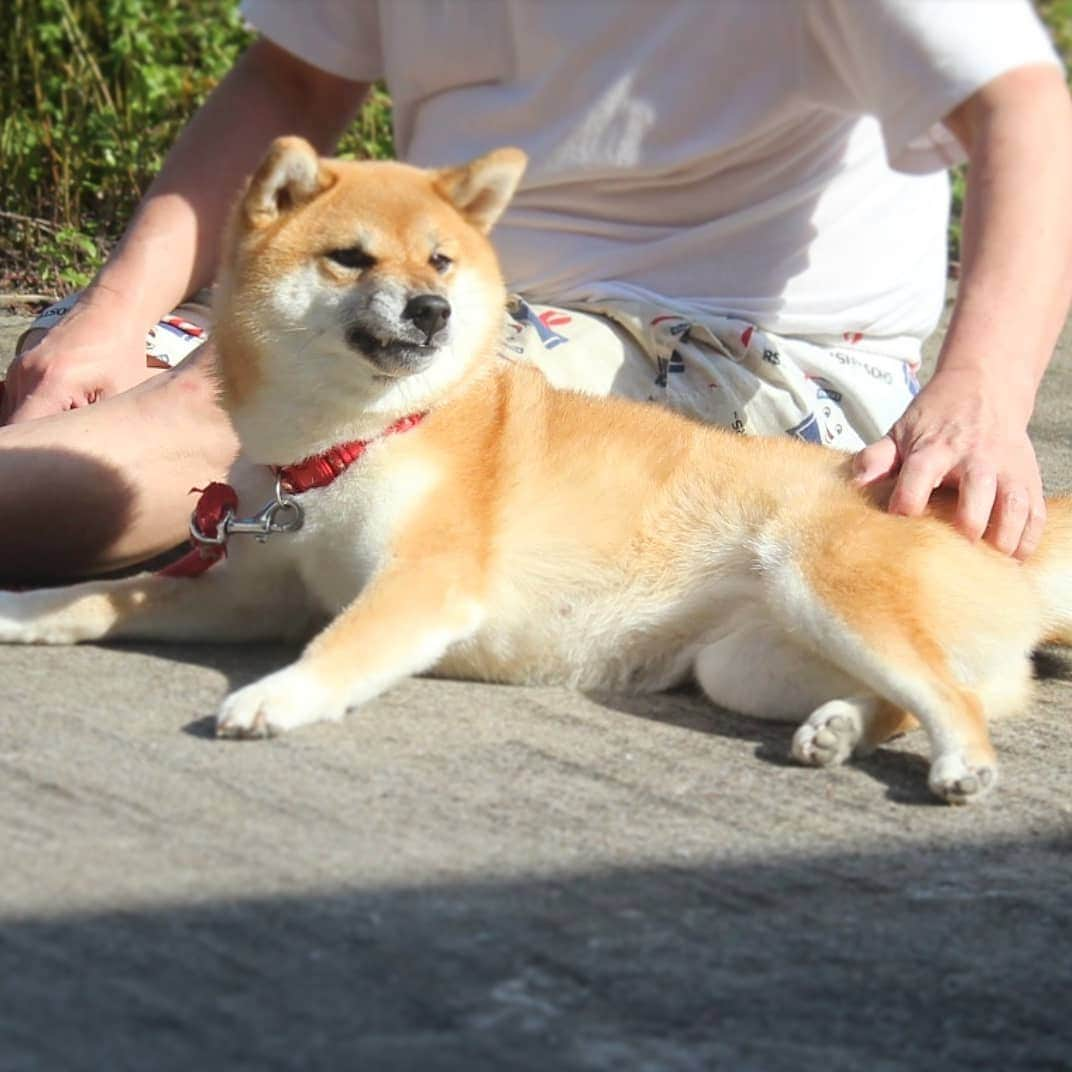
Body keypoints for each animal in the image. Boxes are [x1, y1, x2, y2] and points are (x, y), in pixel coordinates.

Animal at [2, 138, 1072, 801]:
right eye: (350, 258)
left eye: (441, 261)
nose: (432, 311)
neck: (345, 445)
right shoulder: (249, 588)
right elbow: (108, 597)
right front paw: (26, 606)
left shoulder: (427, 582)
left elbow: (342, 645)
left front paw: (275, 696)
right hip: (748, 667)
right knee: (907, 697)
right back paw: (839, 729)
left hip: (821, 584)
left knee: (956, 701)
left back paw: (957, 764)